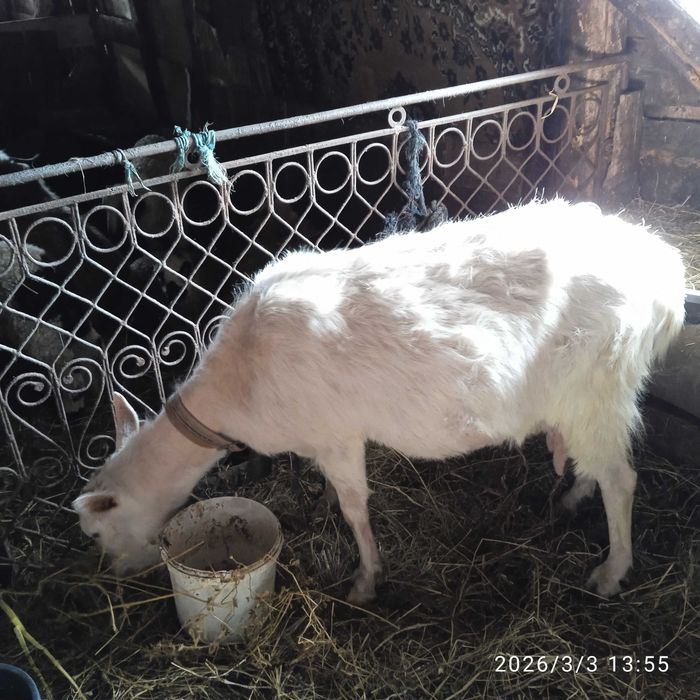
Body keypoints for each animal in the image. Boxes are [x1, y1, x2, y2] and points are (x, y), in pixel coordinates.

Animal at [74, 198, 686, 603]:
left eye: (97, 532)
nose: (116, 574)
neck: (239, 380)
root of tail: (663, 271)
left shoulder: (337, 436)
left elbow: (356, 508)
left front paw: (366, 579)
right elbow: (333, 496)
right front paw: (321, 504)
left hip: (598, 383)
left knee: (621, 479)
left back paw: (611, 572)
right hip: (589, 401)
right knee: (597, 465)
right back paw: (572, 498)